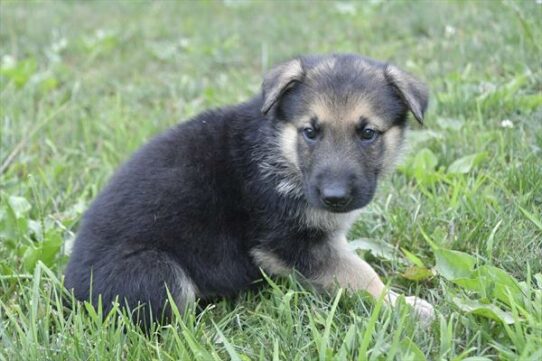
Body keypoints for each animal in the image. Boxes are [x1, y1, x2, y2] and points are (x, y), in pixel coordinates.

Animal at [63, 54, 436, 326]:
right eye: (310, 132)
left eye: (368, 134)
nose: (335, 197)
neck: (279, 148)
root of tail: (68, 297)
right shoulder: (289, 242)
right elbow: (358, 272)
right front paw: (403, 305)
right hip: (156, 270)